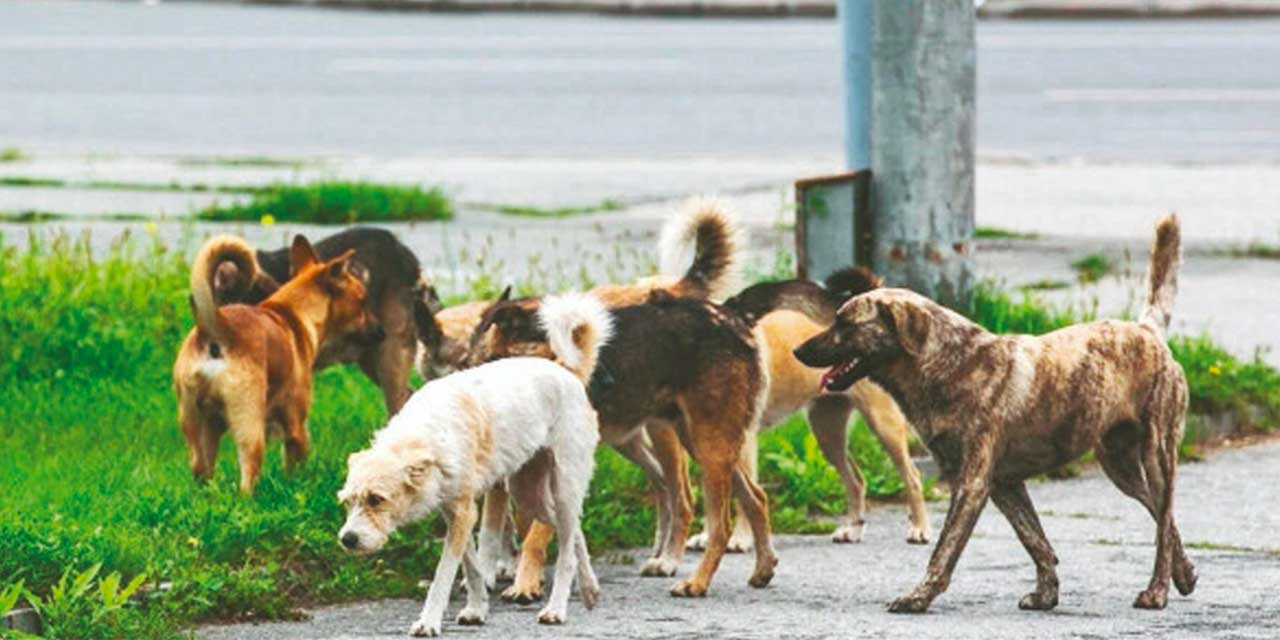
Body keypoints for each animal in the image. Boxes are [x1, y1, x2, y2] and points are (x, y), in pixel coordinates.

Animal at [171, 235, 371, 494]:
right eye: (363, 301)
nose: (381, 331)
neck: (294, 313)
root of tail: (216, 327)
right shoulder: (296, 426)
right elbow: (295, 462)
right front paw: (295, 486)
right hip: (249, 426)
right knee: (247, 474)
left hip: (197, 425)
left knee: (200, 468)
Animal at [335, 293, 604, 637]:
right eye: (348, 502)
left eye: (376, 499)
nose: (347, 540)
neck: (426, 435)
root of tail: (567, 371)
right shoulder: (455, 513)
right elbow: (473, 567)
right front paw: (476, 610)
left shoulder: (463, 513)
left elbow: (443, 575)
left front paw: (429, 621)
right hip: (528, 492)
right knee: (574, 533)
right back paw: (590, 588)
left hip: (565, 486)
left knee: (567, 552)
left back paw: (556, 609)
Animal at [686, 264, 936, 550]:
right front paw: (708, 536)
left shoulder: (744, 442)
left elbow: (743, 498)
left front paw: (739, 539)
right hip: (827, 431)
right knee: (856, 480)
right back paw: (853, 529)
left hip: (884, 425)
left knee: (912, 476)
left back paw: (920, 528)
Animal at [793, 216, 1192, 614]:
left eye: (845, 324)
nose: (797, 350)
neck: (948, 364)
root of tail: (1147, 330)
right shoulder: (1004, 484)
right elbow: (1036, 540)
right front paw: (1046, 594)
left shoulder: (971, 484)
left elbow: (945, 549)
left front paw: (918, 596)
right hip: (1119, 465)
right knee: (1164, 517)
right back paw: (1184, 573)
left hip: (1157, 454)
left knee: (1163, 519)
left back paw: (1157, 591)